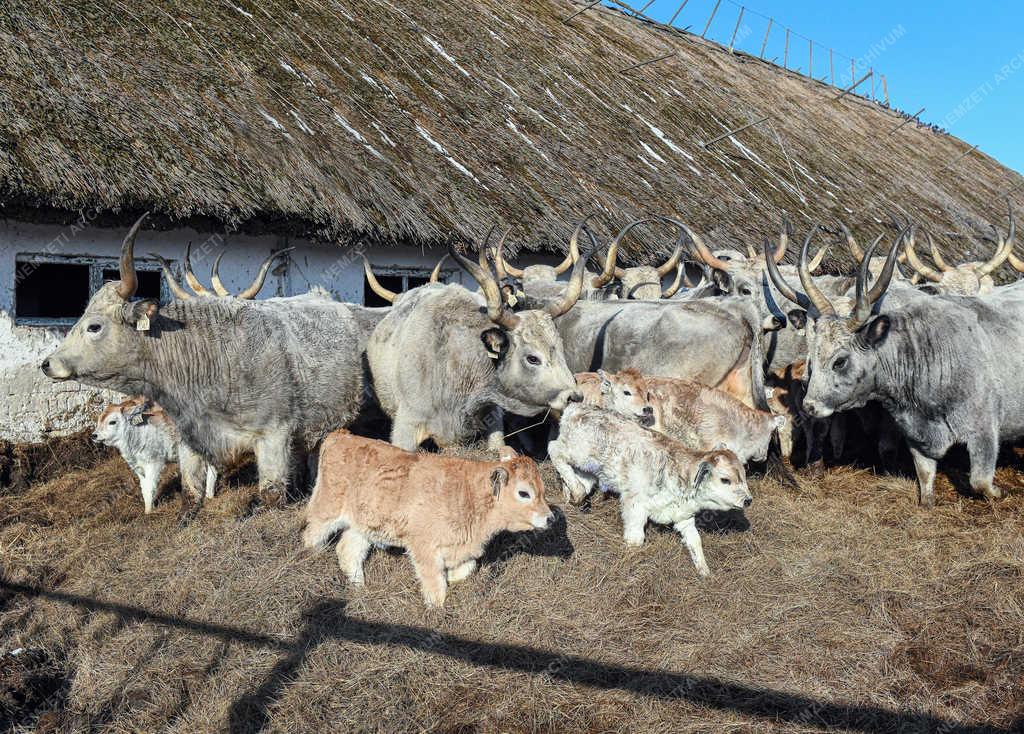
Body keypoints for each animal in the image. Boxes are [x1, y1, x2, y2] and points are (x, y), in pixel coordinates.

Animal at [40, 211, 387, 509]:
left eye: (94, 326)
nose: (47, 364)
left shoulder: (274, 435)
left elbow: (270, 495)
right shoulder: (189, 439)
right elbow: (190, 492)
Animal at [552, 403, 753, 577]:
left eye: (743, 476)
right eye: (725, 480)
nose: (748, 500)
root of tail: (575, 407)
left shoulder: (683, 516)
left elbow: (695, 541)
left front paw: (705, 572)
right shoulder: (634, 505)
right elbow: (635, 538)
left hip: (588, 470)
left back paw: (573, 495)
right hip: (578, 453)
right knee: (555, 450)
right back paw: (576, 490)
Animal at [770, 218, 1024, 503]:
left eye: (840, 361)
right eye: (811, 349)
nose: (810, 404)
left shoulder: (984, 433)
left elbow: (980, 481)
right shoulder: (915, 434)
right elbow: (925, 480)